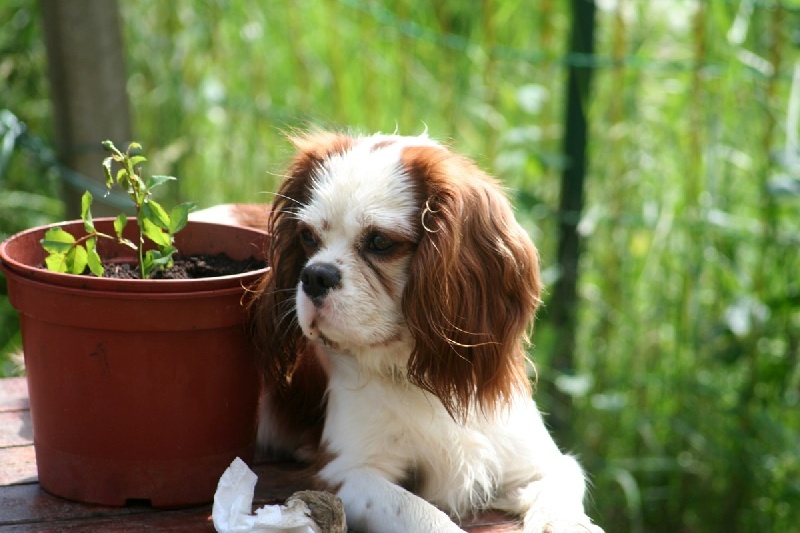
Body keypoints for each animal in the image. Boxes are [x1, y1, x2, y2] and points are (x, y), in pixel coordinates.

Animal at [192, 130, 600, 532]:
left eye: (380, 242)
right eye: (307, 237)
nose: (315, 275)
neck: (419, 372)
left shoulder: (541, 462)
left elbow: (565, 495)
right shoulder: (346, 474)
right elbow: (427, 516)